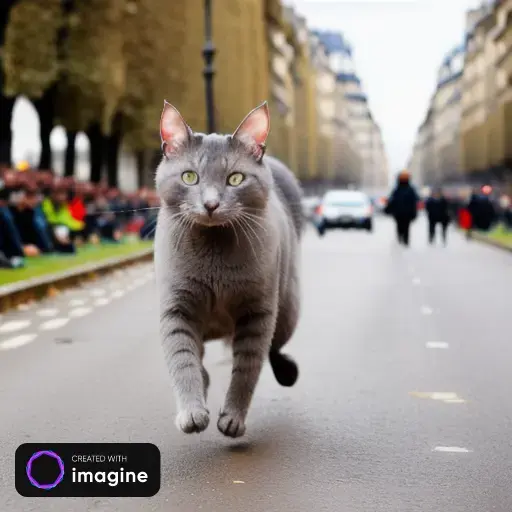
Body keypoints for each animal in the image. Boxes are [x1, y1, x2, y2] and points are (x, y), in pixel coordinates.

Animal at [154, 102, 302, 438]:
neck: (214, 256)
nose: (210, 204)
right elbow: (182, 361)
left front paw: (232, 418)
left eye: (235, 179)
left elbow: (246, 370)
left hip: (287, 311)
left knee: (274, 349)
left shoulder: (257, 313)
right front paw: (192, 413)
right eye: (189, 176)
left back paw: (288, 372)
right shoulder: (176, 309)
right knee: (199, 360)